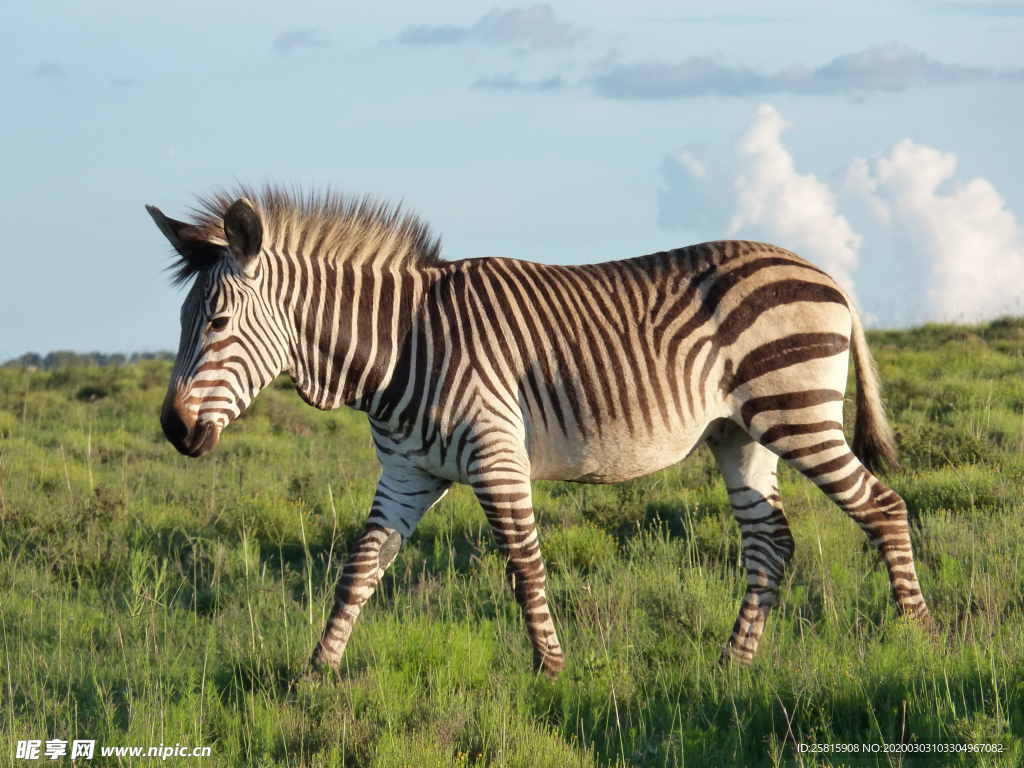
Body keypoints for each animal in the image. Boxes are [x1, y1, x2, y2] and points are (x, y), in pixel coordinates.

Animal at [146, 186, 937, 679]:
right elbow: (361, 567)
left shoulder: (496, 453)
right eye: (181, 322)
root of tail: (825, 274)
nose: (174, 430)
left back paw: (917, 639)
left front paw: (550, 668)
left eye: (217, 322)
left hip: (795, 411)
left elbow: (523, 564)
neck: (401, 344)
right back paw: (734, 664)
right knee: (771, 541)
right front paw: (317, 671)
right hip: (739, 435)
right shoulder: (407, 473)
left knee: (882, 508)